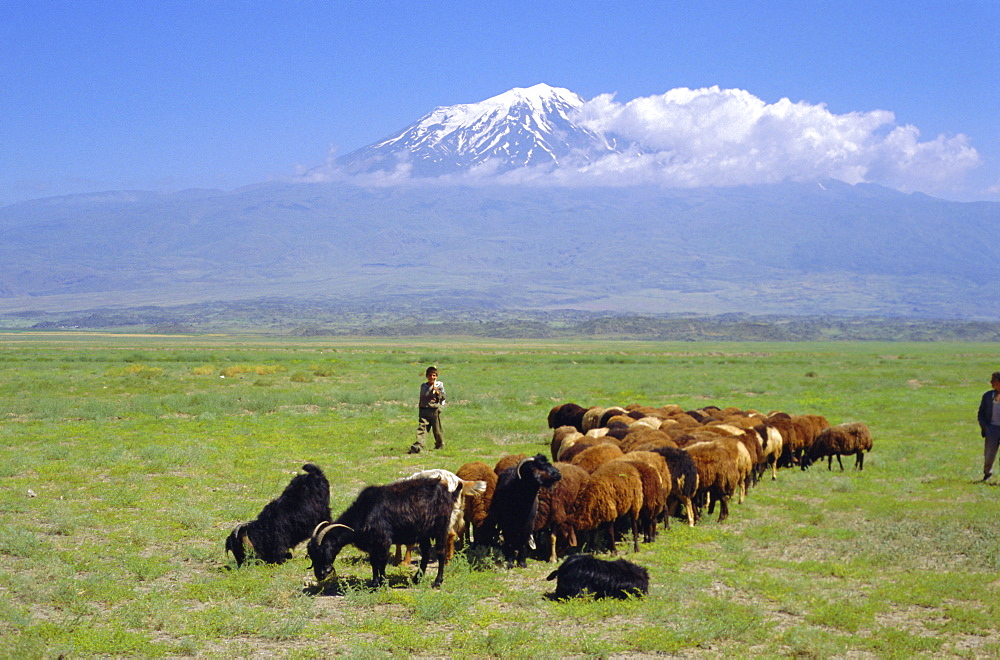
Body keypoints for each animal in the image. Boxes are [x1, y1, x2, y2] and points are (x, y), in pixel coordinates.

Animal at [308, 476, 460, 592]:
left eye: (324, 550)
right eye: (311, 554)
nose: (320, 574)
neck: (364, 511)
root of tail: (448, 492)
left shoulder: (383, 541)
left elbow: (381, 562)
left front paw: (381, 583)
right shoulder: (372, 544)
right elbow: (374, 563)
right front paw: (374, 583)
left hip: (440, 528)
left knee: (440, 552)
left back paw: (437, 582)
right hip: (423, 533)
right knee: (426, 553)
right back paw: (417, 578)